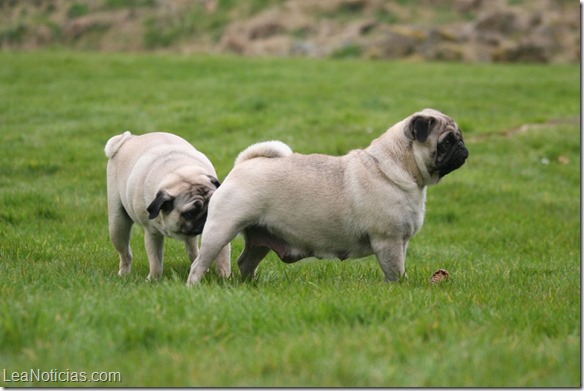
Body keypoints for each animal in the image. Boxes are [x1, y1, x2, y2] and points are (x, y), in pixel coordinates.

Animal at [105, 132, 230, 282]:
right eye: (191, 212)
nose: (207, 215)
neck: (179, 173)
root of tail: (129, 138)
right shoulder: (152, 234)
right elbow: (155, 261)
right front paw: (153, 279)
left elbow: (222, 257)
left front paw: (224, 277)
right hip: (117, 225)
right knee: (125, 253)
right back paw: (124, 273)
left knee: (193, 251)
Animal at [185, 108, 468, 286]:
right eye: (447, 141)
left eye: (459, 137)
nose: (463, 148)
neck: (395, 166)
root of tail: (244, 163)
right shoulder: (388, 241)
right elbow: (396, 272)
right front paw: (400, 289)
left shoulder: (401, 242)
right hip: (221, 230)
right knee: (199, 264)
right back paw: (194, 287)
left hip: (260, 239)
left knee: (245, 262)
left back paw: (249, 285)